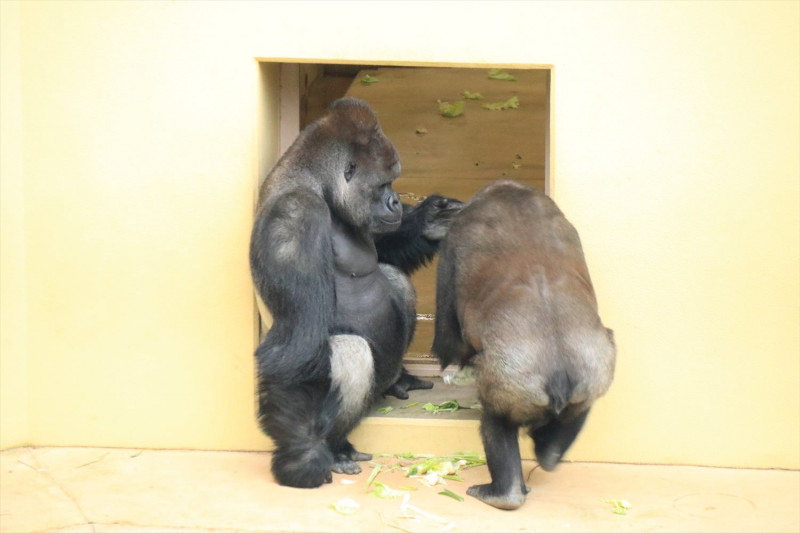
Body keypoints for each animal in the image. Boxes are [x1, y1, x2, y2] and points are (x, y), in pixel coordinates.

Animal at [431, 180, 616, 510]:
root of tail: (559, 376)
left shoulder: (452, 245)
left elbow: (448, 341)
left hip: (511, 382)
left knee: (495, 420)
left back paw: (503, 493)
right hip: (592, 375)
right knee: (570, 422)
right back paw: (549, 453)